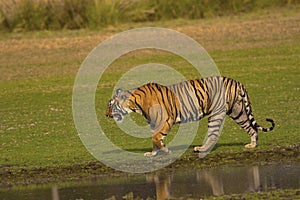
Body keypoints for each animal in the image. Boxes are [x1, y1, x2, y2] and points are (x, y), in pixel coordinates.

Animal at [105, 76, 274, 157]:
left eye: (110, 104)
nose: (106, 114)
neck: (136, 105)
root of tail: (236, 82)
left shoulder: (165, 120)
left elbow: (156, 138)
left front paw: (165, 151)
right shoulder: (154, 123)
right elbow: (155, 139)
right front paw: (153, 153)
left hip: (216, 113)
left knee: (213, 134)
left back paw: (201, 149)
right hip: (237, 111)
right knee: (251, 128)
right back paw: (252, 145)